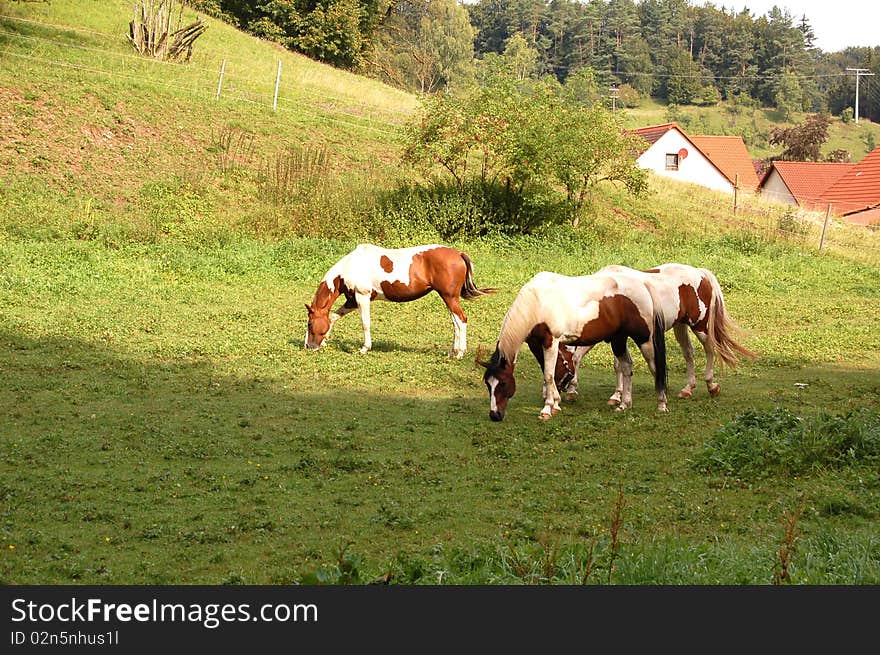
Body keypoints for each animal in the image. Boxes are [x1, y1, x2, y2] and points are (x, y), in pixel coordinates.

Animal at [306, 245, 492, 358]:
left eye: (309, 324)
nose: (309, 346)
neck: (350, 267)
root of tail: (458, 253)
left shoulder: (362, 298)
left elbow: (365, 324)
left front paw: (365, 348)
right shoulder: (351, 301)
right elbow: (332, 318)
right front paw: (326, 341)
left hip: (449, 297)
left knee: (461, 320)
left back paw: (460, 353)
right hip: (448, 298)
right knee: (455, 323)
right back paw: (453, 352)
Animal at [482, 270, 668, 420]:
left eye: (503, 383)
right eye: (488, 384)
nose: (494, 415)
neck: (537, 303)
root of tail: (643, 284)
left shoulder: (551, 341)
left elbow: (548, 375)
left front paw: (547, 409)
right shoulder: (535, 343)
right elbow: (549, 374)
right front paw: (555, 403)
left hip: (644, 339)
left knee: (655, 368)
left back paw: (662, 404)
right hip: (618, 339)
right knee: (627, 367)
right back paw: (624, 405)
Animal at [552, 262, 752, 404]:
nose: (557, 391)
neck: (606, 297)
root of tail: (700, 273)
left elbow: (616, 364)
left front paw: (617, 395)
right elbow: (585, 359)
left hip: (699, 325)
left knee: (709, 349)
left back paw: (711, 386)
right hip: (680, 325)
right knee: (689, 353)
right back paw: (687, 389)